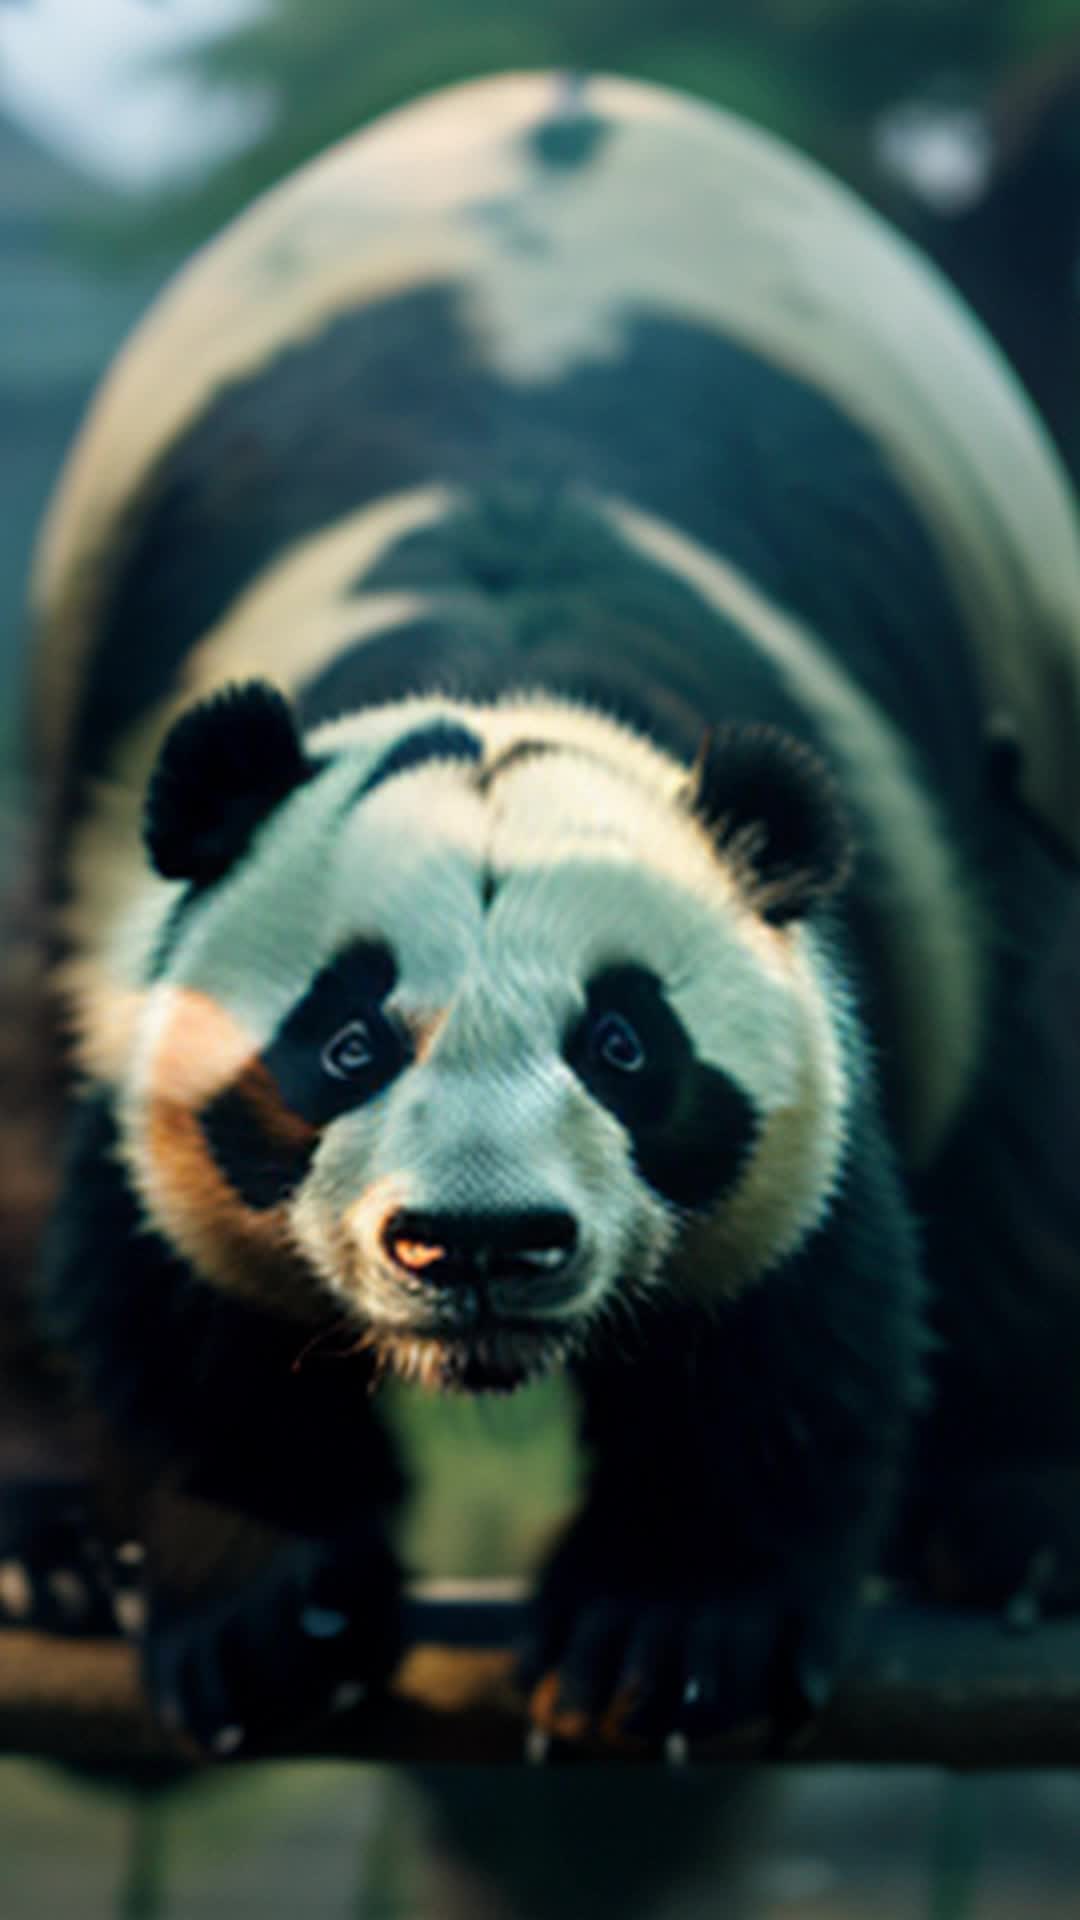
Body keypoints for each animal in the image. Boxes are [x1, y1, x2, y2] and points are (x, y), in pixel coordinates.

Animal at [6, 74, 1076, 1758]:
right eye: (347, 1045)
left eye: (624, 1046)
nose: (481, 1243)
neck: (505, 626)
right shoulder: (138, 922)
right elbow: (163, 1301)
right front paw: (267, 1612)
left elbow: (799, 1312)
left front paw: (669, 1635)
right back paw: (47, 1546)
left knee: (1029, 1132)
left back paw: (1019, 1519)